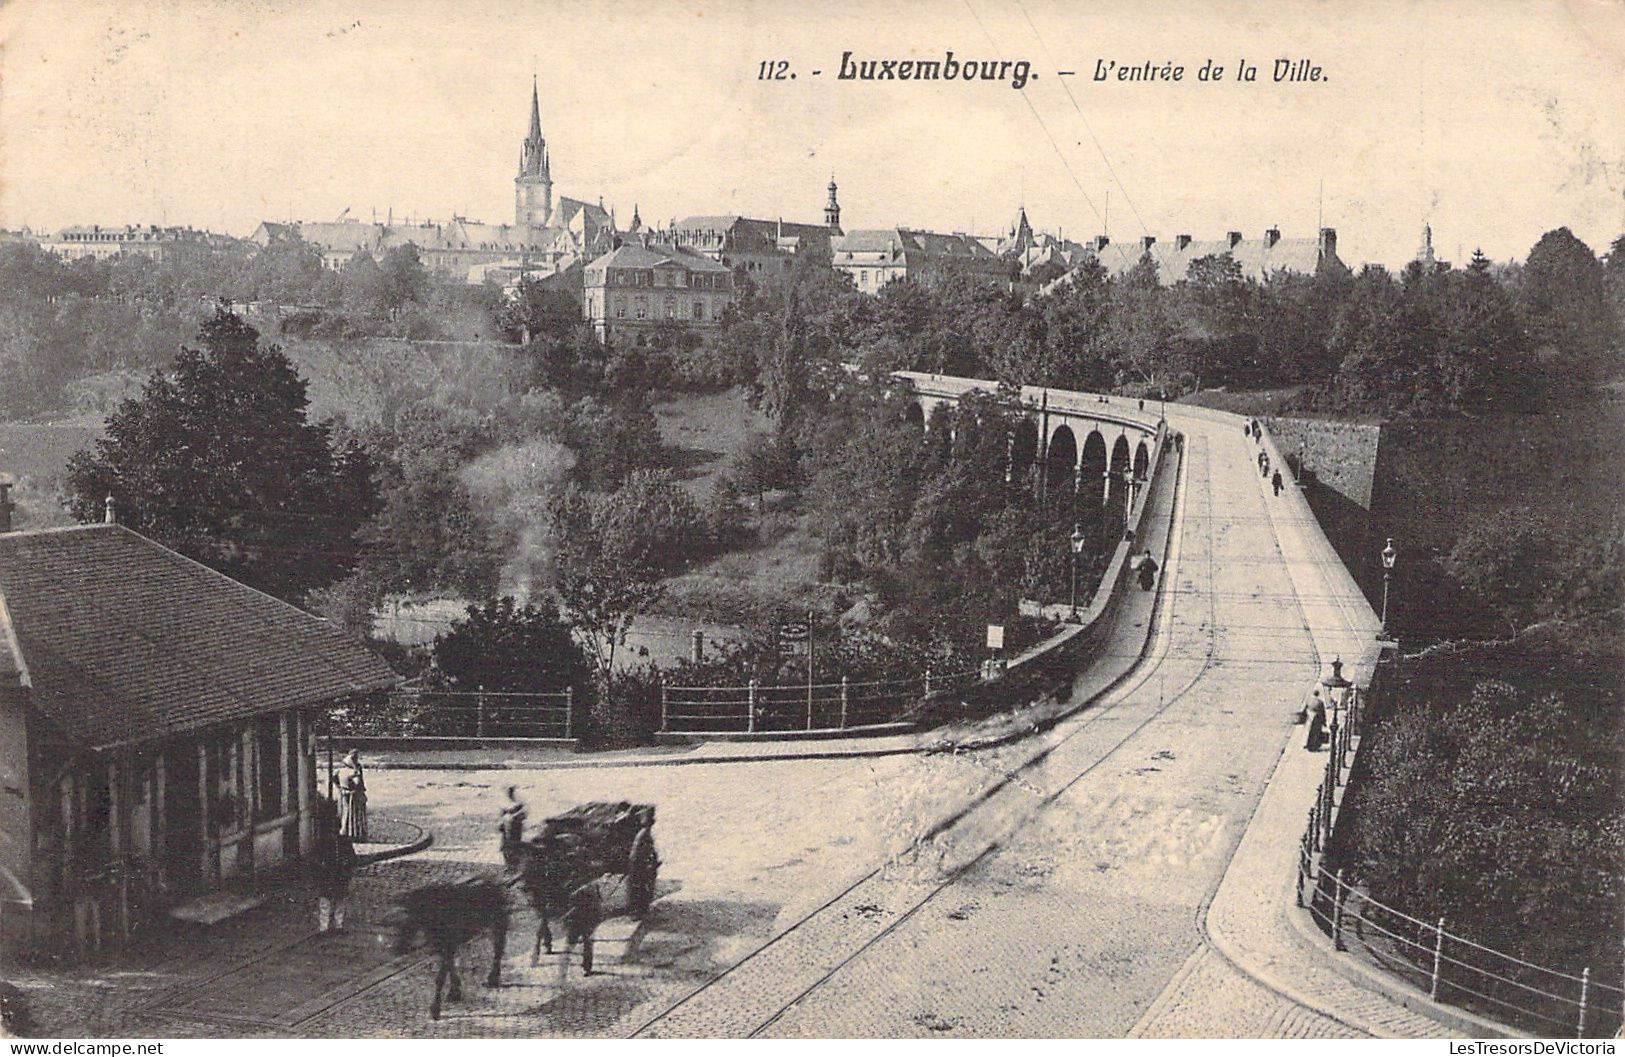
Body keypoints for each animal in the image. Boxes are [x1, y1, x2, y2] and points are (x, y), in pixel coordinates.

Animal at [393, 871, 507, 1014]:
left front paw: (436, 1007)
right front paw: (454, 992)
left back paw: (493, 978)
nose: (398, 947)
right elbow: (449, 968)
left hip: (498, 924)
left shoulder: (448, 945)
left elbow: (441, 976)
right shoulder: (443, 947)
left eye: (415, 916)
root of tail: (492, 880)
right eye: (408, 914)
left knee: (498, 951)